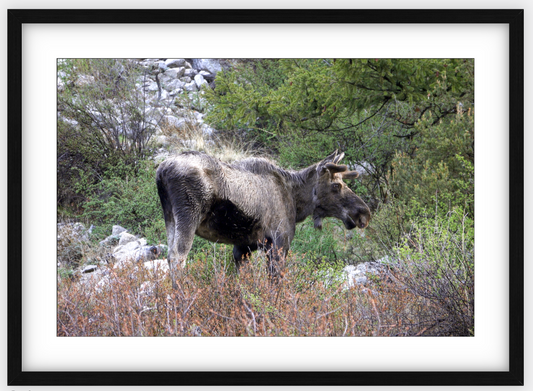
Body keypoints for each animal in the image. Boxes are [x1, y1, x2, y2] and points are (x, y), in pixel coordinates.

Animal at [156, 150, 368, 288]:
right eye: (336, 185)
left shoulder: (243, 247)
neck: (296, 200)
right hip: (188, 214)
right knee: (177, 256)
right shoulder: (279, 242)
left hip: (170, 218)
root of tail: (161, 172)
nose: (363, 212)